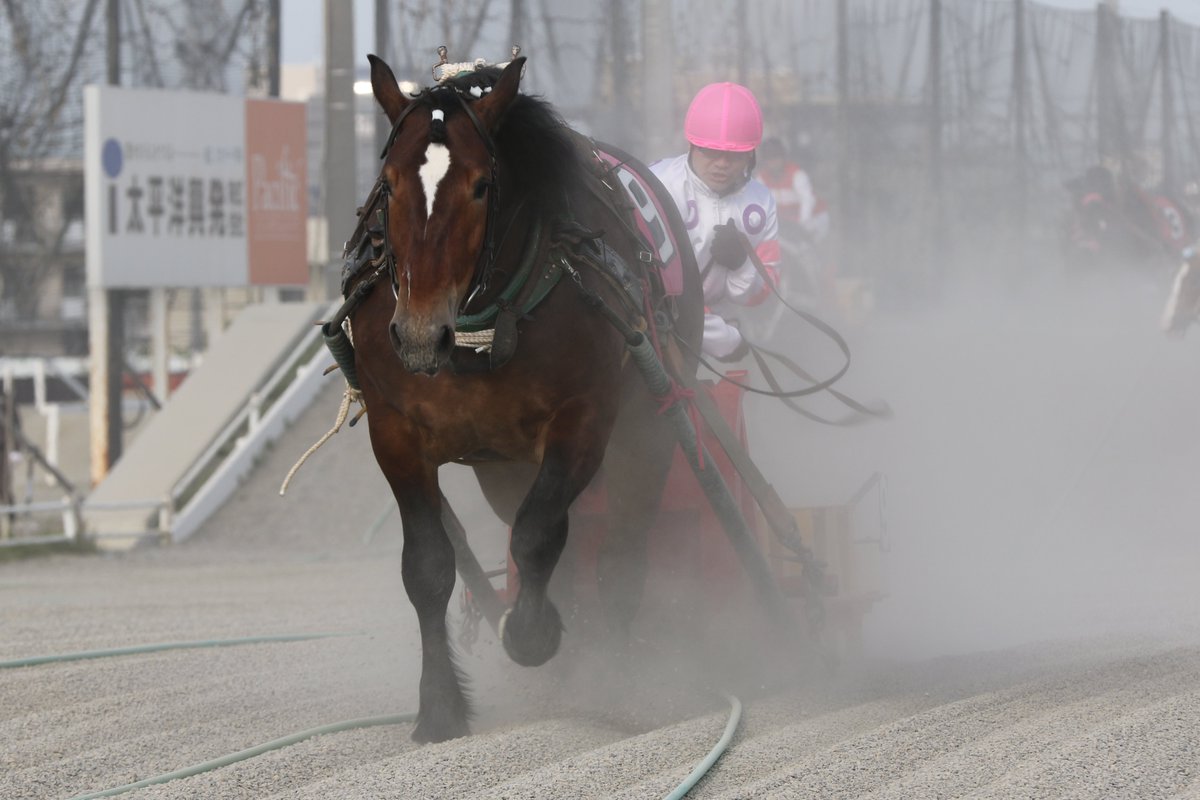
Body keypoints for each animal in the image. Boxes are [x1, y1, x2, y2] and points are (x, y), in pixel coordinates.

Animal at [335, 54, 703, 743]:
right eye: (389, 186)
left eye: (481, 186)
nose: (419, 333)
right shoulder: (395, 431)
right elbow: (428, 566)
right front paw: (439, 707)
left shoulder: (584, 417)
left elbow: (538, 534)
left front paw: (534, 634)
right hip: (500, 466)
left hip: (650, 422)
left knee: (621, 548)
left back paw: (615, 674)